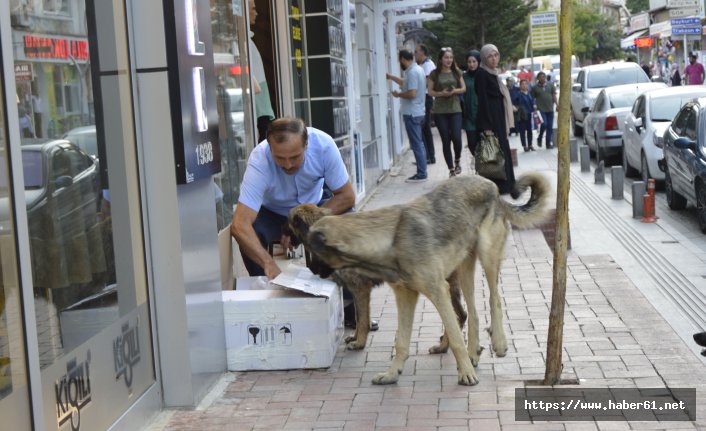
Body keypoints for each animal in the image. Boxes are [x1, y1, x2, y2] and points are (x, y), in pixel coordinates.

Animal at [286, 205, 468, 352]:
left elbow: (362, 319)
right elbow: (359, 317)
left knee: (456, 315)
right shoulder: (357, 292)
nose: (283, 238)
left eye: (287, 223)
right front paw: (355, 338)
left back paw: (443, 347)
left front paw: (359, 343)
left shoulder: (360, 290)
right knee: (461, 314)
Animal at [306, 174, 548, 386]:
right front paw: (392, 374)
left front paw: (466, 374)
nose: (310, 270)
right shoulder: (405, 295)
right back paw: (473, 353)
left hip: (487, 256)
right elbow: (401, 341)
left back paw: (498, 343)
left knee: (494, 298)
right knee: (474, 313)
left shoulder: (438, 291)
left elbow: (455, 337)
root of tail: (492, 186)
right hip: (464, 270)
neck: (389, 239)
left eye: (311, 251)